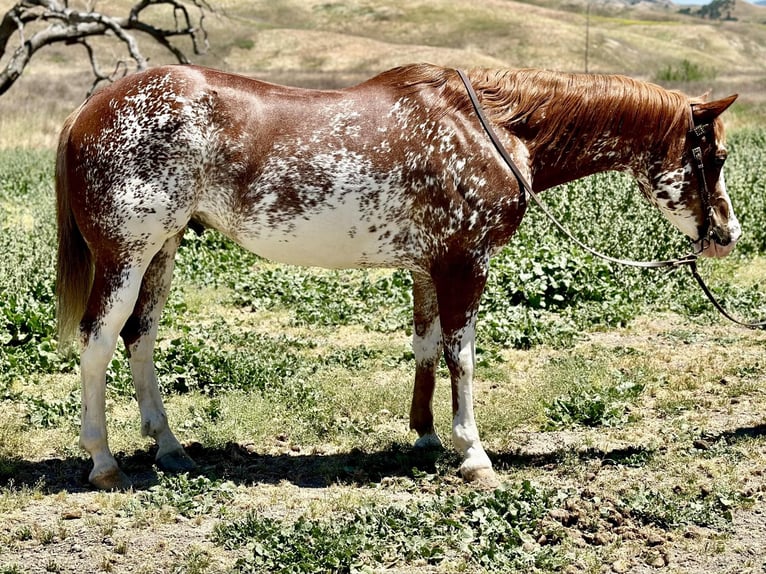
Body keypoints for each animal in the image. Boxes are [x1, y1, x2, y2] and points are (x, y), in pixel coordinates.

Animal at [58, 64, 744, 490]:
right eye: (715, 156)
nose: (728, 236)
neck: (493, 130)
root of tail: (88, 109)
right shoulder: (466, 263)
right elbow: (462, 356)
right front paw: (473, 455)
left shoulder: (428, 267)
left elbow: (426, 347)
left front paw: (426, 438)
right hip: (126, 254)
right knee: (97, 341)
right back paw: (104, 462)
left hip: (163, 250)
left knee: (140, 338)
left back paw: (171, 448)